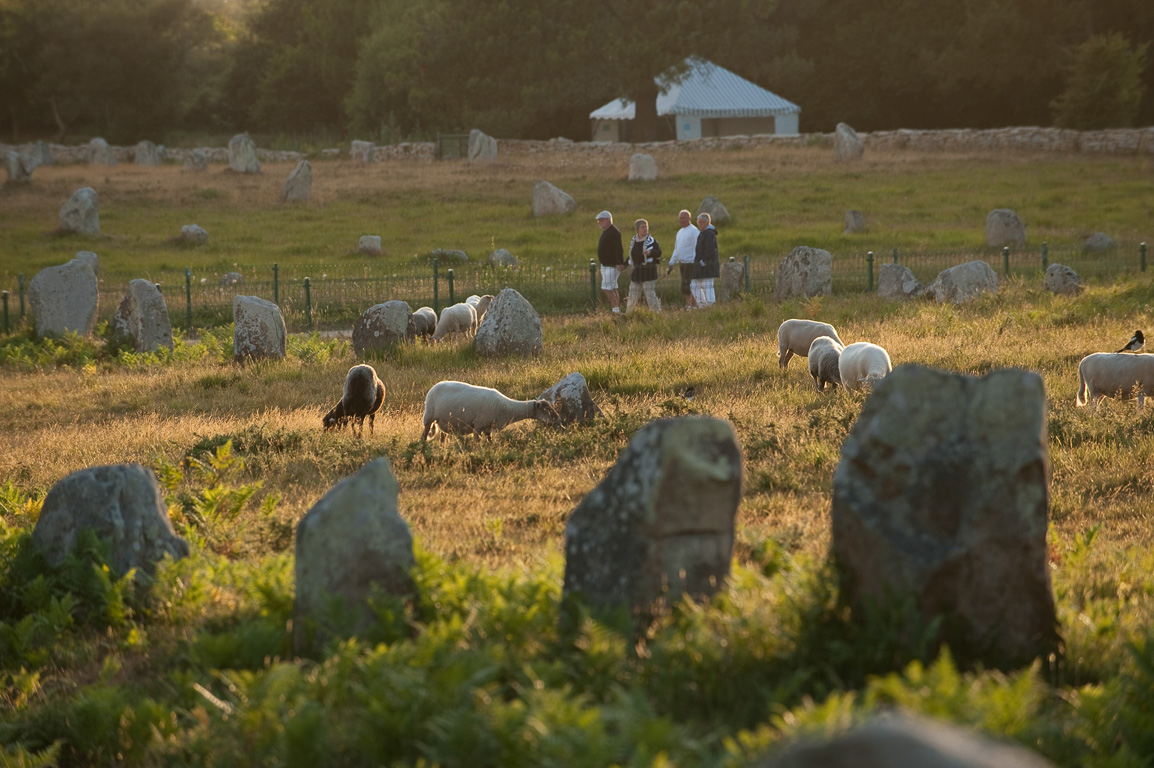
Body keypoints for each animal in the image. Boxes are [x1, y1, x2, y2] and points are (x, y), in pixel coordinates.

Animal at [424, 380, 563, 440]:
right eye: (546, 410)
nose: (559, 419)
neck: (506, 408)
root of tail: (435, 385)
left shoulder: (488, 428)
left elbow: (489, 440)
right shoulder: (478, 425)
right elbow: (477, 441)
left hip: (445, 421)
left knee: (443, 436)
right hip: (428, 417)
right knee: (424, 434)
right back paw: (423, 446)